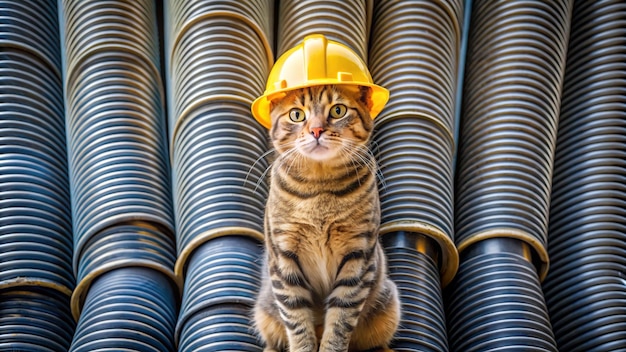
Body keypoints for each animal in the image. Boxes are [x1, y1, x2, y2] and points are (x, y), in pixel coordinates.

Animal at [254, 84, 400, 350]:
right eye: (297, 115)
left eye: (338, 110)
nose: (316, 130)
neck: (319, 188)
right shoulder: (284, 257)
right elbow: (297, 322)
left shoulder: (357, 256)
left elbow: (340, 322)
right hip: (263, 312)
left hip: (388, 304)